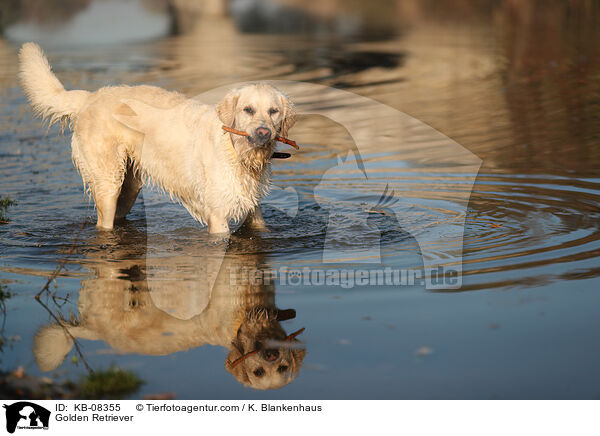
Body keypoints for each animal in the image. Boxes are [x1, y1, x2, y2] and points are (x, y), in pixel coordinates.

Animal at [19, 43, 296, 235]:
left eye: (273, 111)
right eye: (248, 110)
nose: (263, 132)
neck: (238, 154)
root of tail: (90, 97)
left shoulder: (253, 208)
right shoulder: (218, 217)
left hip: (129, 186)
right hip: (108, 182)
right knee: (103, 222)